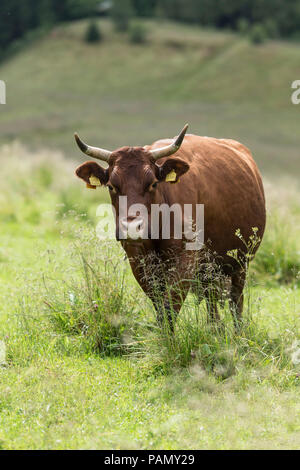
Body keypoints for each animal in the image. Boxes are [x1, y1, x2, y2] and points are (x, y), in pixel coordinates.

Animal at [74, 126, 264, 328]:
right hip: (210, 268)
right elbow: (159, 306)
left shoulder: (185, 260)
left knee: (236, 303)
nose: (132, 228)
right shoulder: (138, 261)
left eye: (153, 183)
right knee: (212, 300)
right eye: (111, 186)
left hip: (240, 263)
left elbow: (169, 308)